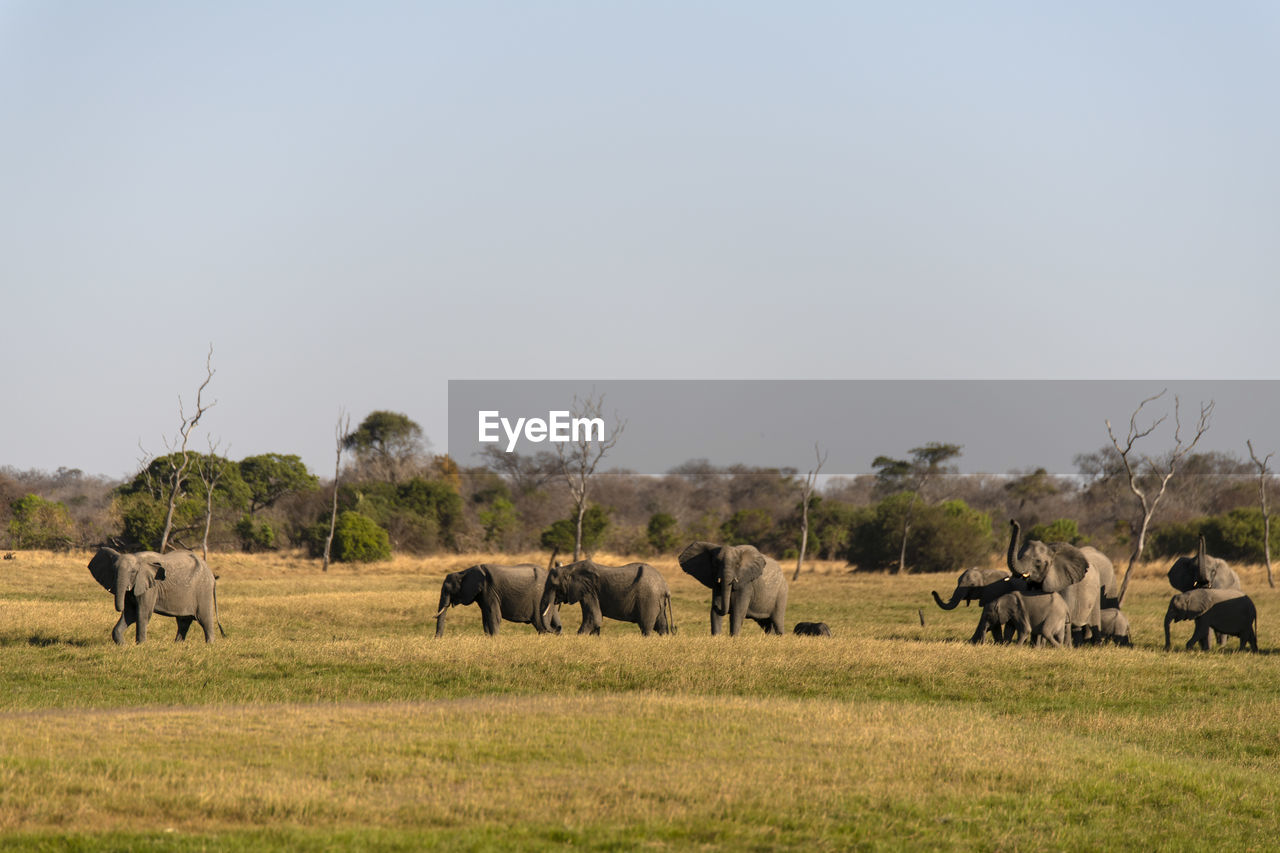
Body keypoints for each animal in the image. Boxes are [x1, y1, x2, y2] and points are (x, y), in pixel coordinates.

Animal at [86, 548, 224, 640]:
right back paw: (178, 645)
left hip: (203, 590)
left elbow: (142, 614)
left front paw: (140, 646)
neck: (138, 558)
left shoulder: (150, 587)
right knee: (183, 622)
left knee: (205, 620)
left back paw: (210, 645)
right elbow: (130, 614)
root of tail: (212, 575)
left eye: (133, 572)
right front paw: (123, 646)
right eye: (114, 571)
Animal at [537, 558, 675, 630]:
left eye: (554, 586)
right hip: (657, 600)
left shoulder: (589, 591)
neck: (569, 568)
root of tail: (666, 587)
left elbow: (594, 619)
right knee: (662, 625)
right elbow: (596, 620)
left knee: (647, 627)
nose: (557, 628)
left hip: (649, 599)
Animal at [1003, 517, 1105, 645]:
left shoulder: (1066, 583)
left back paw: (1095, 645)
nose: (1012, 521)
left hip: (1096, 593)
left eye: (1038, 562)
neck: (1052, 553)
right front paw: (1036, 646)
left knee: (1094, 621)